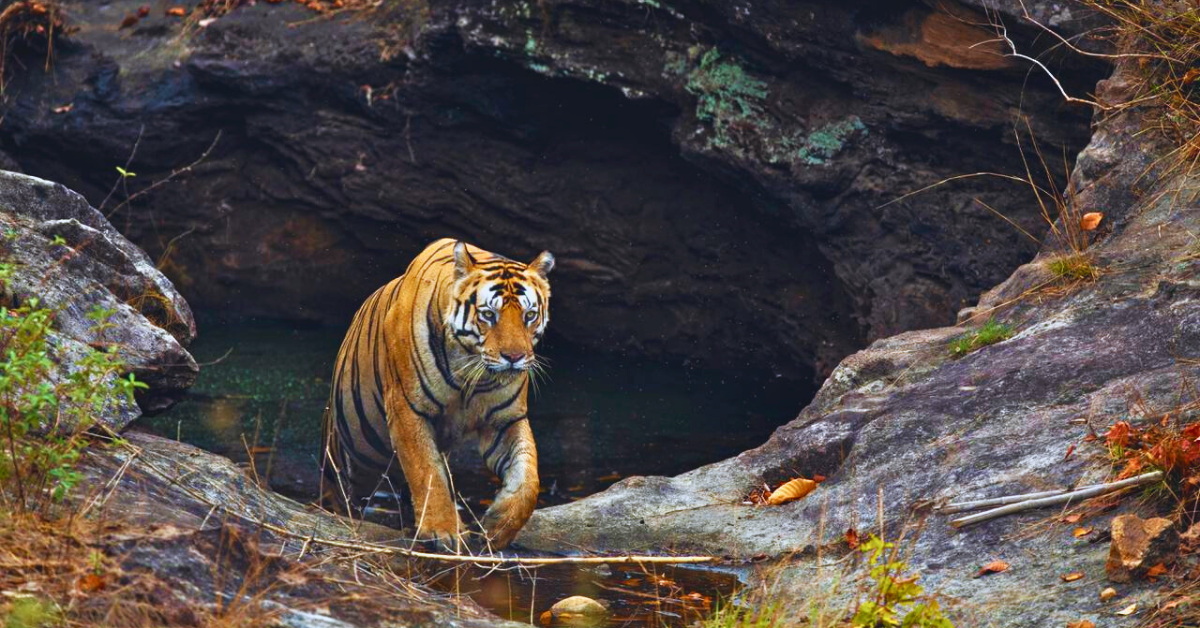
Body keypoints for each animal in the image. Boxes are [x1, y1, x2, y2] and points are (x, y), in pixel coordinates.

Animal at [324, 240, 556, 549]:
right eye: (488, 315)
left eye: (529, 315)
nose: (515, 357)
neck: (472, 375)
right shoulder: (407, 410)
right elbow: (427, 472)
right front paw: (443, 531)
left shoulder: (505, 420)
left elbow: (529, 478)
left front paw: (498, 527)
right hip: (343, 453)